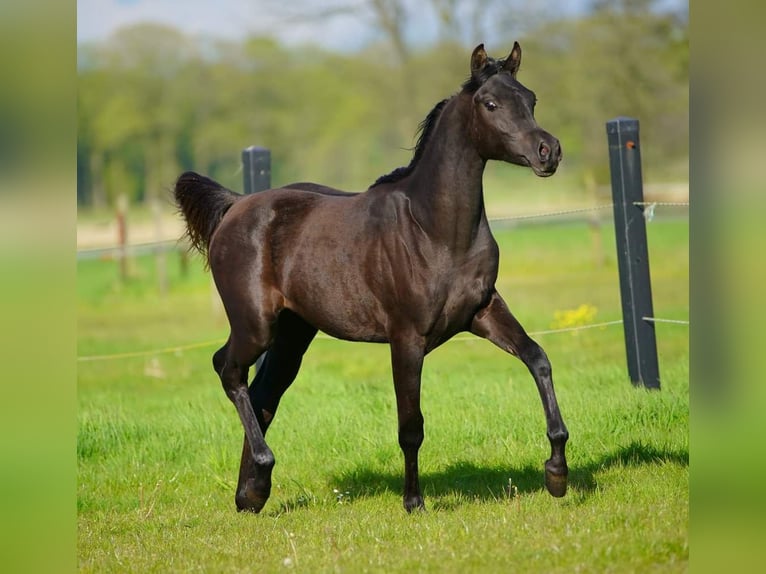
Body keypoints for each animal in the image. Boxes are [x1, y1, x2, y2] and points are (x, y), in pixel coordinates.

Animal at [176, 42, 568, 516]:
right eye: (491, 104)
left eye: (531, 99)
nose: (549, 152)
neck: (435, 230)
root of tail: (235, 205)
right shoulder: (407, 338)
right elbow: (411, 425)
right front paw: (414, 502)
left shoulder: (483, 311)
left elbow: (538, 358)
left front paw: (557, 473)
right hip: (255, 324)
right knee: (228, 369)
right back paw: (262, 470)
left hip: (293, 333)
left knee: (264, 393)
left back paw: (251, 493)